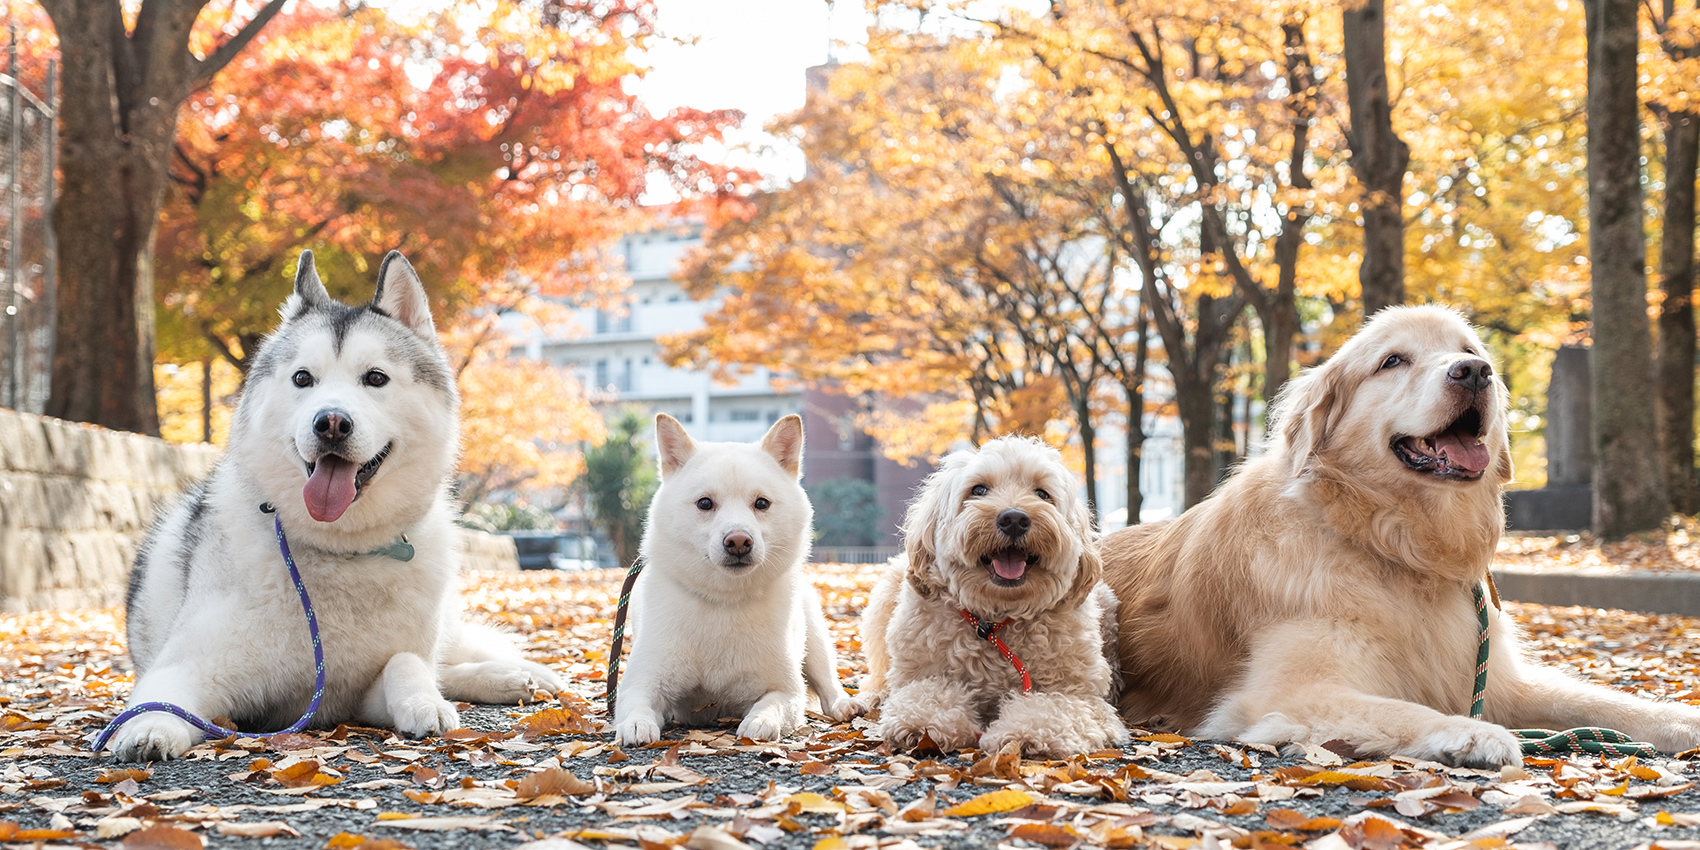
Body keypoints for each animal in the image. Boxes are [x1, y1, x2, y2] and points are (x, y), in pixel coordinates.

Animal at [113, 248, 564, 761]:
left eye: (376, 378)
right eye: (302, 378)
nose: (331, 422)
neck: (342, 551)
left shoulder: (360, 694)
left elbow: (406, 661)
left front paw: (425, 703)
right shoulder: (192, 670)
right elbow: (160, 701)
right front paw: (149, 728)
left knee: (450, 655)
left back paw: (519, 674)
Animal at [612, 414, 863, 748]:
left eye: (762, 503)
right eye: (705, 503)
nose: (739, 541)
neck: (724, 601)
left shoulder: (785, 690)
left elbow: (772, 703)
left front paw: (761, 721)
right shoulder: (642, 683)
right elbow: (635, 704)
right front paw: (637, 724)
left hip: (816, 637)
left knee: (827, 682)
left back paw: (843, 704)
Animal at [863, 438, 1128, 758]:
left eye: (1042, 493)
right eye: (978, 490)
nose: (1014, 518)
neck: (994, 620)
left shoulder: (1083, 697)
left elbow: (1053, 709)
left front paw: (1025, 733)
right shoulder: (922, 676)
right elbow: (925, 697)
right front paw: (922, 725)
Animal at [1101, 307, 1700, 771]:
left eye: (1469, 350)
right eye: (1393, 361)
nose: (1474, 372)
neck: (1395, 545)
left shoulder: (1496, 679)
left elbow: (1603, 700)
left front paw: (1679, 716)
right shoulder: (1283, 693)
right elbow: (1401, 708)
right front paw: (1471, 733)